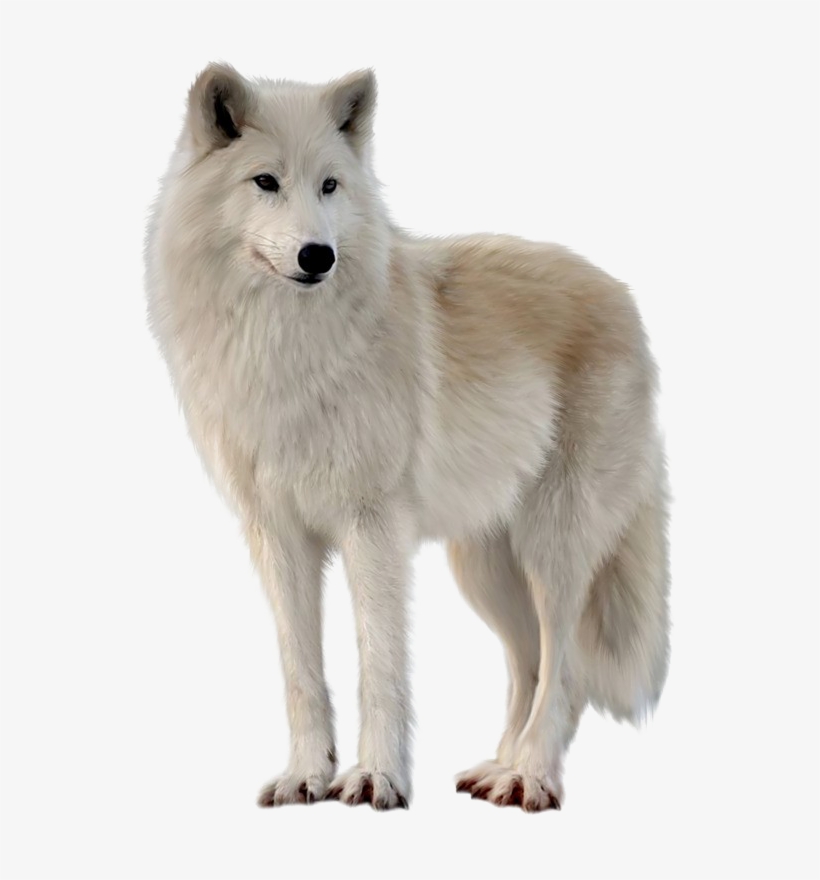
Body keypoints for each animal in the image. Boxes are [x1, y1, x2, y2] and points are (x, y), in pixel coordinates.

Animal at [144, 63, 670, 812]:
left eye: (330, 185)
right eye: (265, 181)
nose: (318, 256)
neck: (285, 346)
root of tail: (624, 295)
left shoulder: (374, 529)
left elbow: (380, 665)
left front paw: (375, 778)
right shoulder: (277, 536)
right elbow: (301, 672)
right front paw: (306, 776)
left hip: (556, 549)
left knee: (564, 672)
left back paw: (531, 777)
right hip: (485, 568)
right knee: (528, 665)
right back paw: (497, 769)